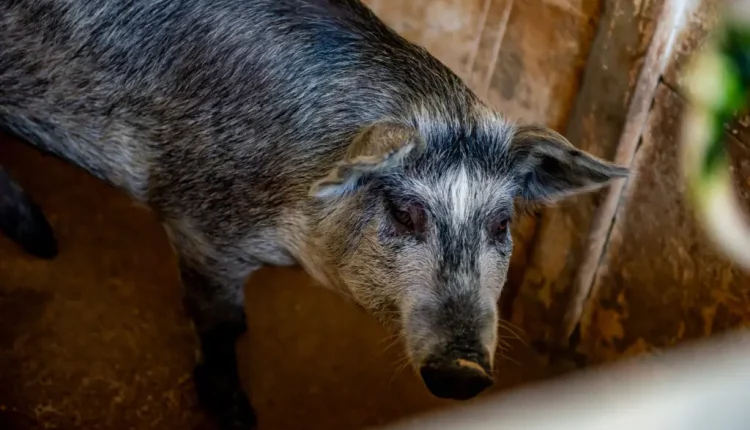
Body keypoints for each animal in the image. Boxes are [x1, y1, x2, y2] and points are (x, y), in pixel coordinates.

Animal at [0, 1, 628, 428]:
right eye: (405, 212)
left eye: (501, 224)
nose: (465, 371)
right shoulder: (200, 223)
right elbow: (221, 321)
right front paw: (239, 416)